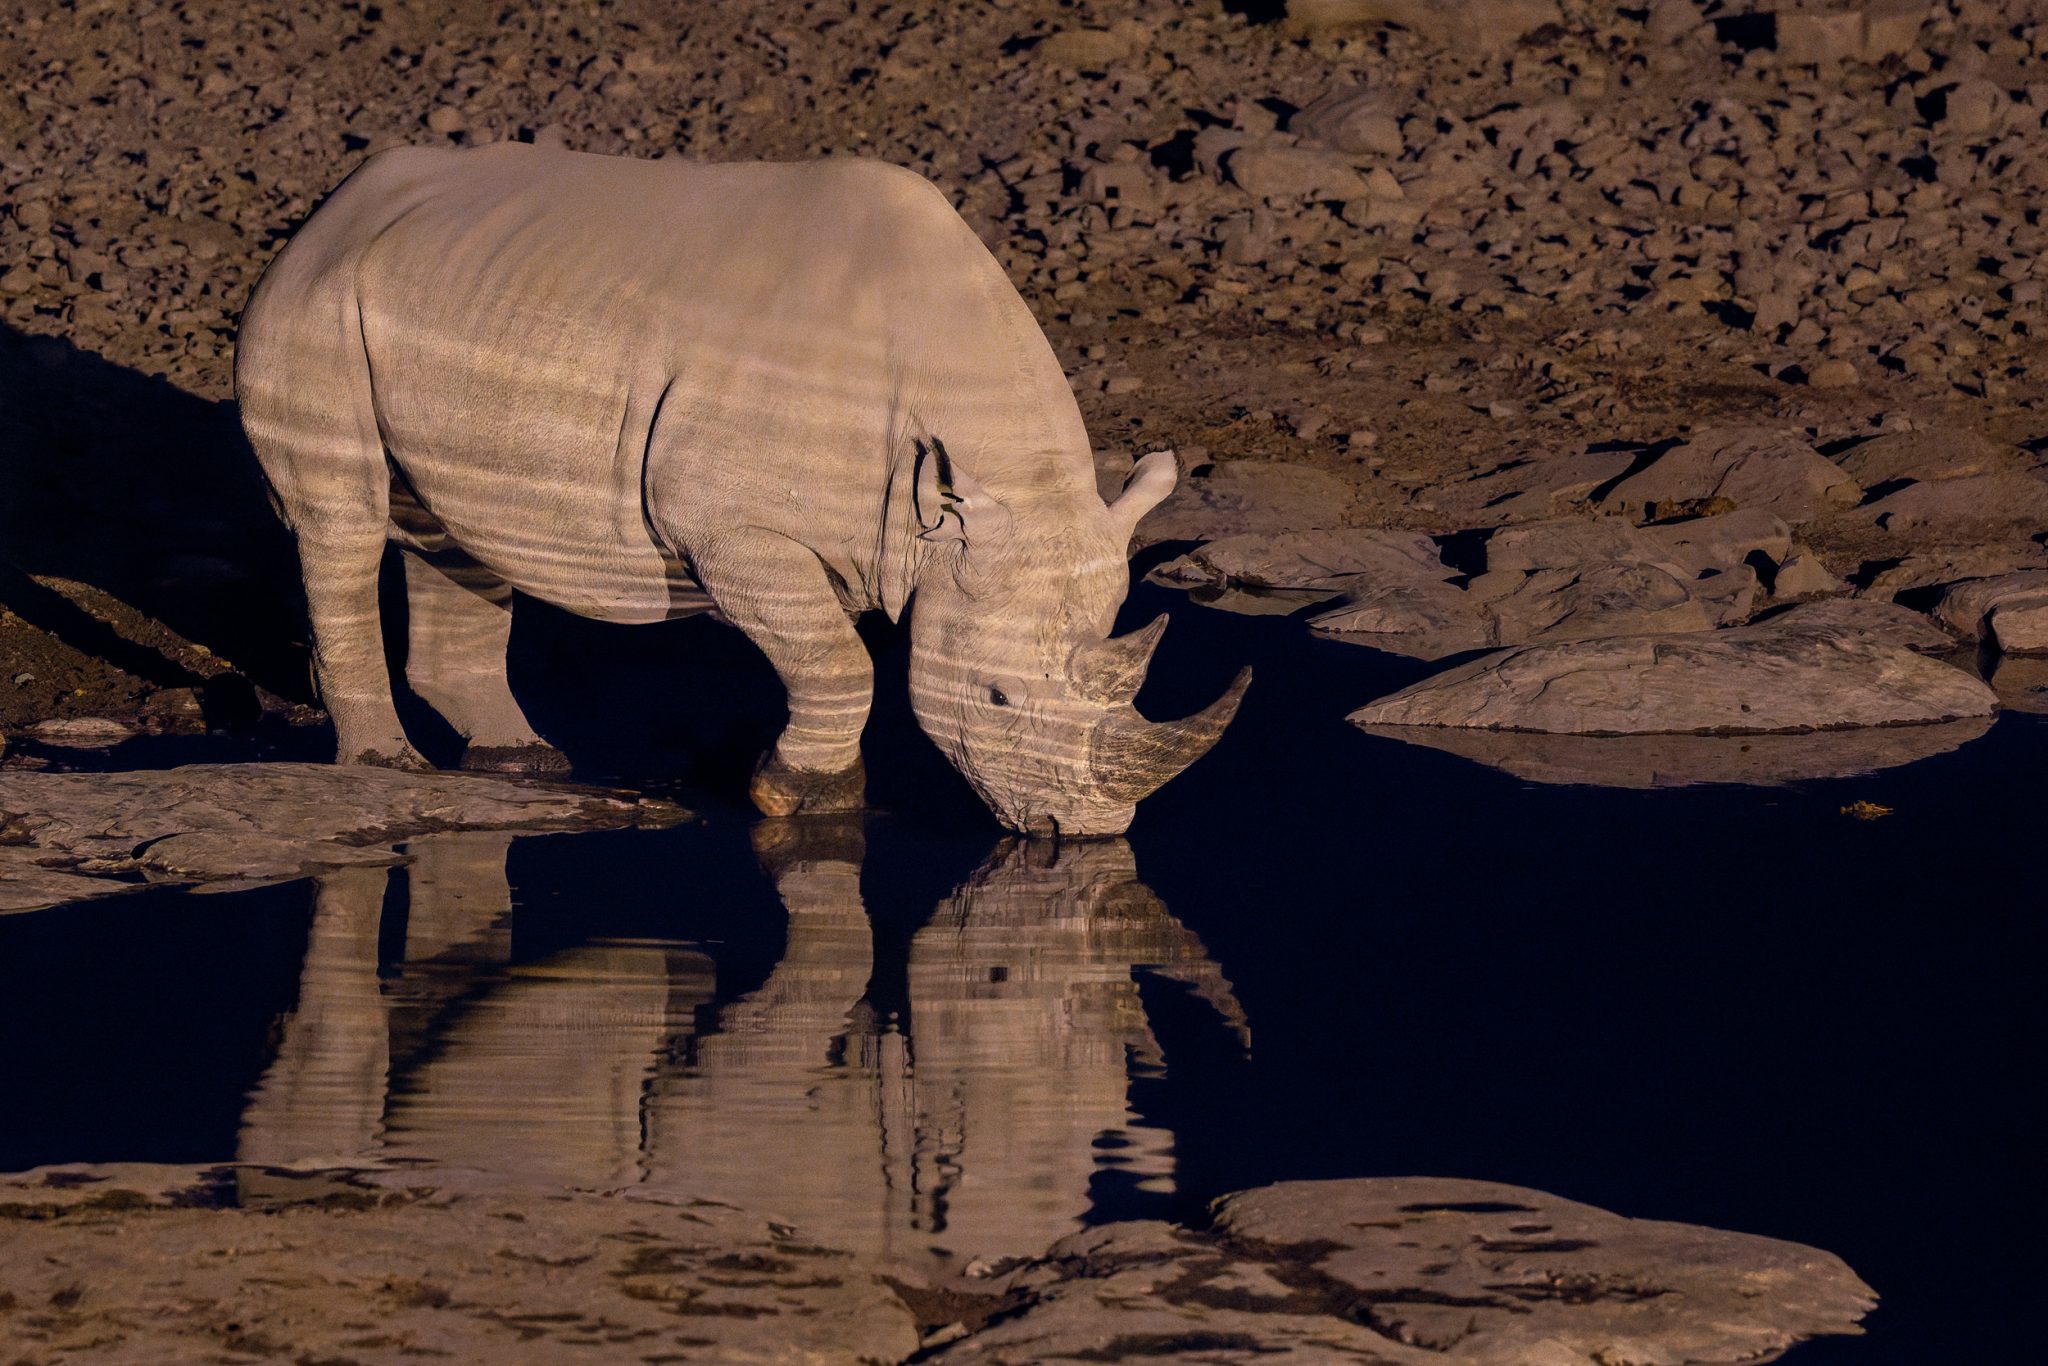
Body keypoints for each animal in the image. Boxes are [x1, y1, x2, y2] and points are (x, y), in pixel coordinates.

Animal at [235, 144, 1248, 836]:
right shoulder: (726, 526)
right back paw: (389, 767)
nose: (1084, 833)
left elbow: (832, 660)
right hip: (312, 297)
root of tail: (337, 206)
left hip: (444, 297)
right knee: (343, 517)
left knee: (446, 531)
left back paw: (522, 761)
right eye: (996, 699)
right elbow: (839, 663)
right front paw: (795, 797)